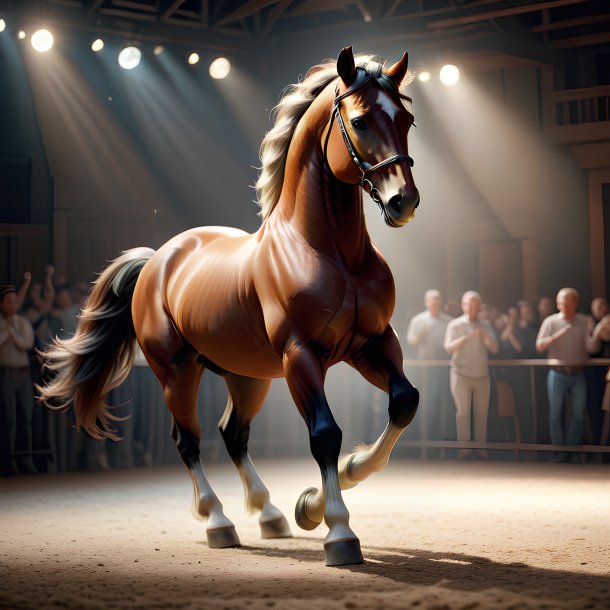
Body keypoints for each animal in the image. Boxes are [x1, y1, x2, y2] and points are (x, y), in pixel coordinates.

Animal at [36, 47, 418, 564]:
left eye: (407, 119)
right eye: (358, 121)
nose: (404, 202)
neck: (328, 251)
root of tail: (158, 259)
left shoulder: (372, 344)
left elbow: (403, 403)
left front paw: (318, 497)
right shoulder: (301, 354)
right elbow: (324, 434)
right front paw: (337, 529)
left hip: (247, 375)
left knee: (233, 434)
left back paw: (271, 514)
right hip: (177, 371)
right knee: (188, 440)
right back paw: (219, 521)